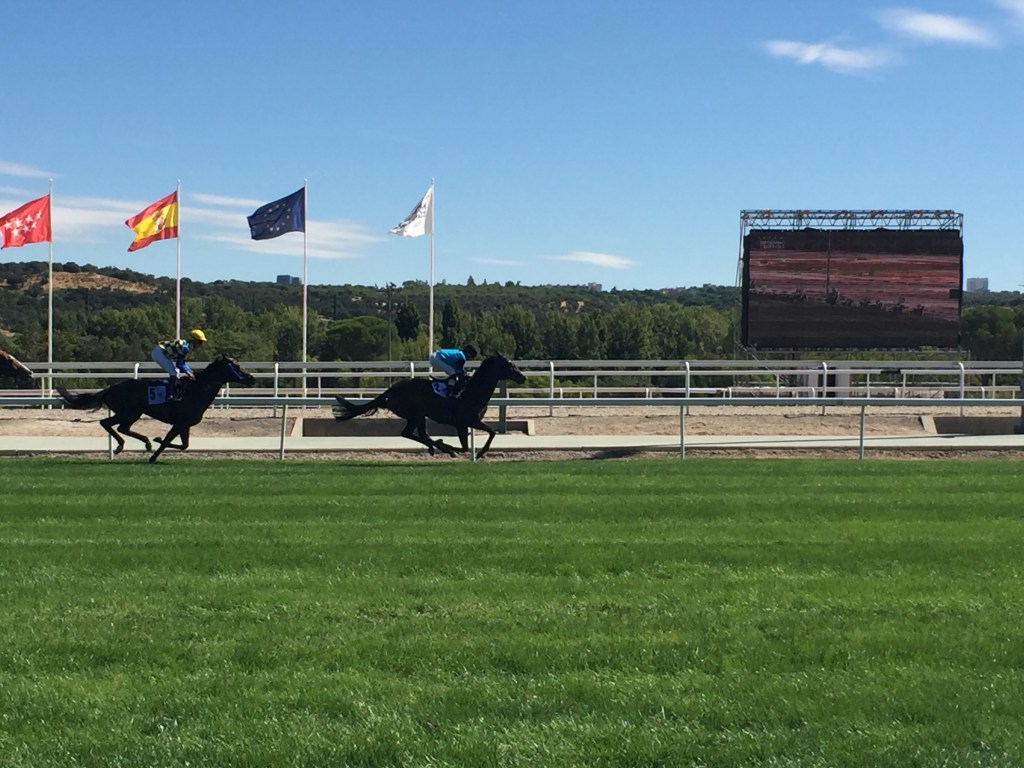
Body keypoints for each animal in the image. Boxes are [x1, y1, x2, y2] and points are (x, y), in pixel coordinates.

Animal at [58, 354, 256, 462]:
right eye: (236, 366)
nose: (252, 378)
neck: (197, 389)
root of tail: (109, 389)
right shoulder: (179, 423)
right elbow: (169, 441)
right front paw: (154, 452)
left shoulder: (185, 424)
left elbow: (184, 445)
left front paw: (157, 441)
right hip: (129, 412)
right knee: (109, 424)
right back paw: (127, 445)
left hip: (130, 413)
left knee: (118, 426)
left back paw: (141, 442)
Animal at [334, 352, 527, 458]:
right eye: (509, 365)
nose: (523, 377)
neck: (473, 392)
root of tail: (391, 390)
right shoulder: (464, 422)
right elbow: (470, 444)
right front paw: (470, 451)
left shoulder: (469, 422)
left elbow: (489, 433)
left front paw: (476, 452)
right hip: (415, 414)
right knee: (411, 433)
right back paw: (440, 447)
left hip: (419, 416)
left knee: (417, 434)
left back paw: (435, 447)